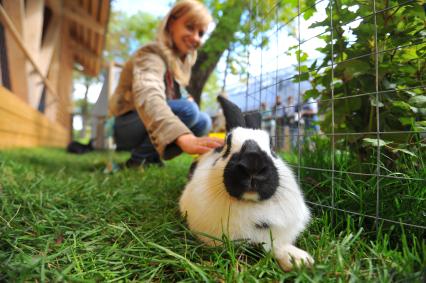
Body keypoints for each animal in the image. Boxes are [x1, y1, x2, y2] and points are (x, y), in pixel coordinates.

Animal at [178, 96, 314, 272]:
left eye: (272, 145)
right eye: (228, 143)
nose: (253, 163)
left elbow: (275, 245)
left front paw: (299, 259)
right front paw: (297, 259)